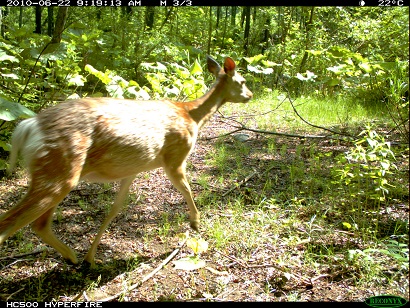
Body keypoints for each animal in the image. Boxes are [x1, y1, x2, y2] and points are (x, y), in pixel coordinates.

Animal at [0, 56, 253, 268]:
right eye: (242, 80)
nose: (250, 95)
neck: (192, 116)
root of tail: (29, 126)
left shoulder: (133, 170)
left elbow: (114, 209)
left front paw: (91, 257)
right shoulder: (175, 157)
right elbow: (187, 189)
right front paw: (195, 223)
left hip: (54, 172)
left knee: (39, 224)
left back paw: (73, 257)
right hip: (59, 167)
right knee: (11, 222)